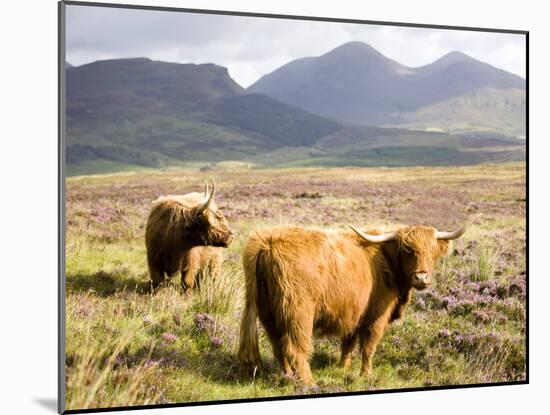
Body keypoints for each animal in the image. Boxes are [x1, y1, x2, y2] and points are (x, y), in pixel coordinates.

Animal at [237, 216, 484, 386]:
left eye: (432, 251)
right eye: (408, 250)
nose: (421, 277)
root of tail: (267, 242)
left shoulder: (352, 313)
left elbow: (348, 343)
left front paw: (342, 368)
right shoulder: (377, 316)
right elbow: (369, 347)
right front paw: (366, 374)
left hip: (268, 313)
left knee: (278, 347)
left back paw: (288, 377)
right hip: (298, 313)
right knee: (295, 348)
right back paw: (309, 383)